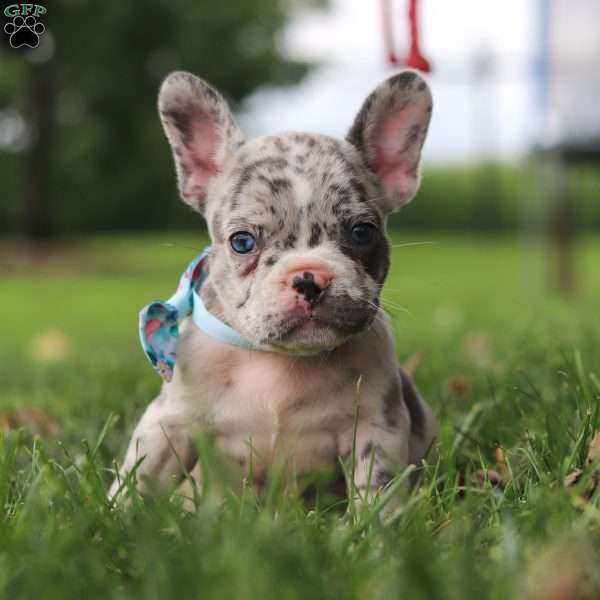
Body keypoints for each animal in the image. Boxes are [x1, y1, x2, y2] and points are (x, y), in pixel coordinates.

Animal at [109, 69, 436, 502]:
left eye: (362, 232)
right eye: (242, 242)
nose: (309, 278)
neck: (279, 362)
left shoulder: (376, 429)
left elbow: (377, 490)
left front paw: (378, 520)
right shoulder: (169, 423)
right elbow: (138, 478)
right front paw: (113, 512)